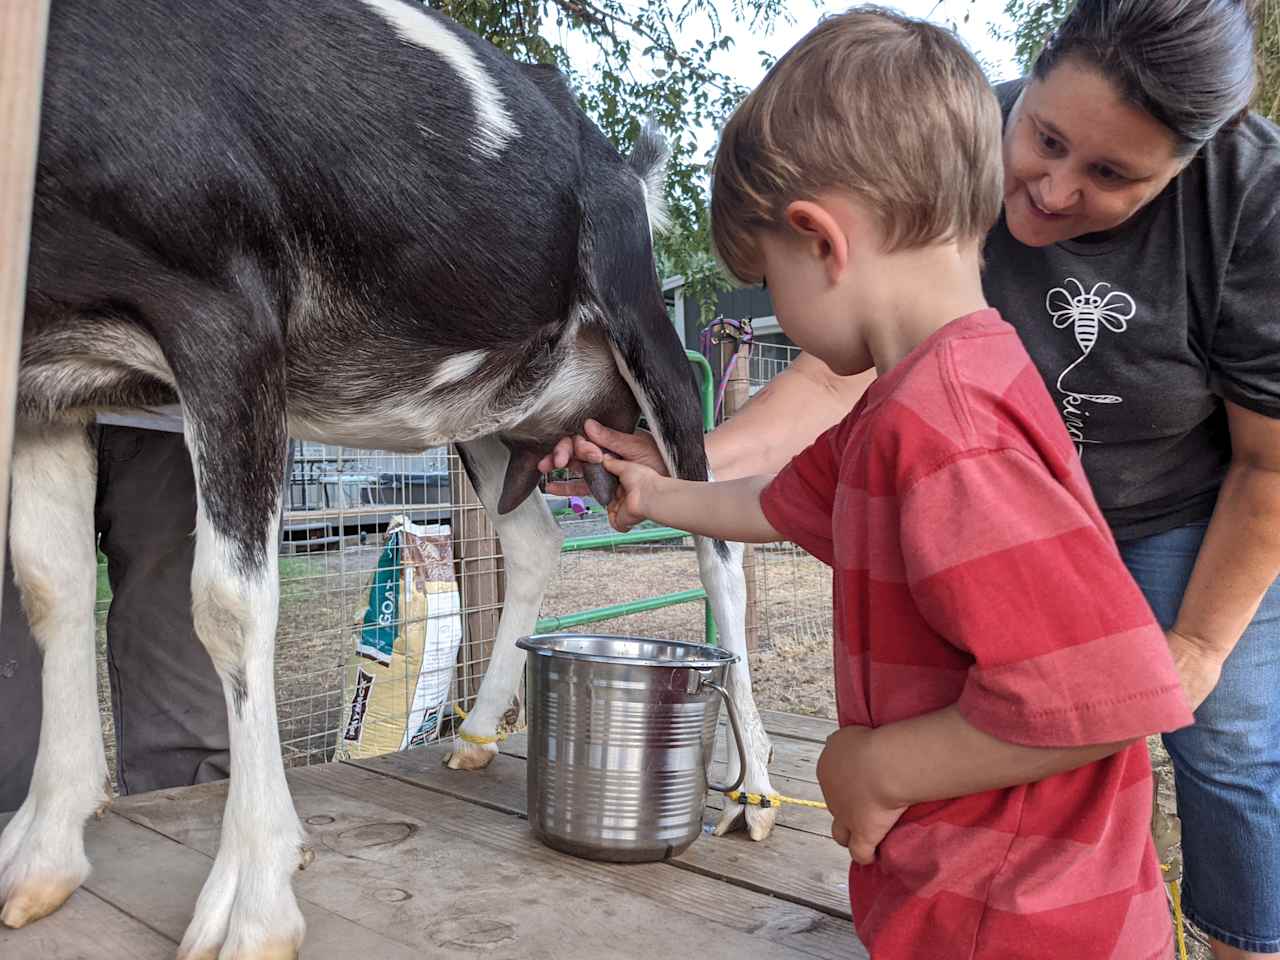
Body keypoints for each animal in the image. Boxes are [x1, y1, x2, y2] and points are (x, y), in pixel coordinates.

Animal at [0, 3, 778, 957]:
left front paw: (253, 898)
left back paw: (754, 787)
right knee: (534, 542)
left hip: (642, 324)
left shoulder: (228, 313)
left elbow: (227, 603)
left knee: (716, 545)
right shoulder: (46, 375)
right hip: (489, 413)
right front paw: (43, 853)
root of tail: (624, 164)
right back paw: (477, 732)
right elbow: (51, 583)